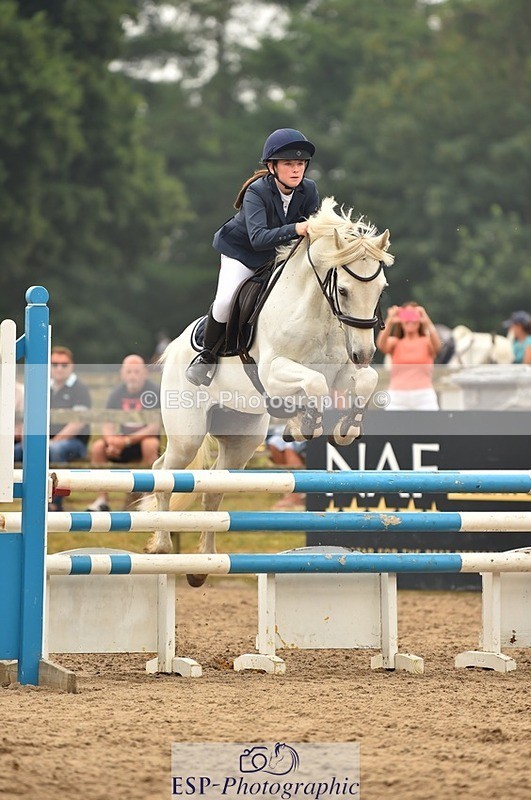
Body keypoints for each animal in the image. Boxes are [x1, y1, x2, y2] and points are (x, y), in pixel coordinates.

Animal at [144, 197, 394, 585]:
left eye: (380, 289)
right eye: (343, 290)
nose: (365, 353)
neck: (317, 311)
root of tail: (174, 347)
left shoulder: (343, 372)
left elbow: (364, 383)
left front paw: (347, 427)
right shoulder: (275, 371)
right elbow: (314, 384)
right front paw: (305, 426)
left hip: (241, 440)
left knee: (213, 490)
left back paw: (204, 565)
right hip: (188, 433)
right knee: (163, 472)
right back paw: (161, 546)